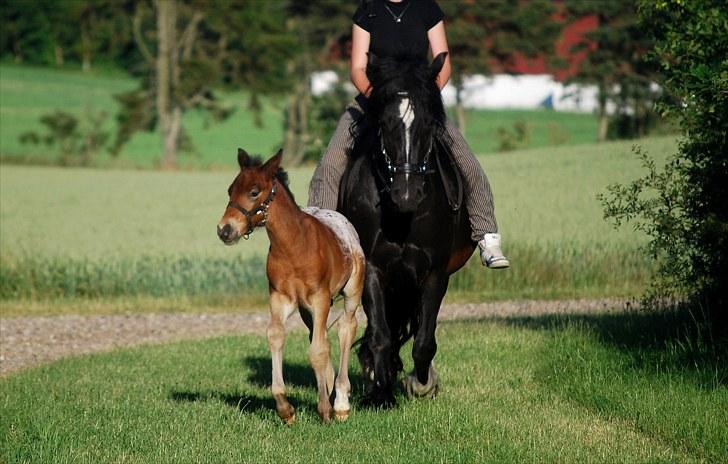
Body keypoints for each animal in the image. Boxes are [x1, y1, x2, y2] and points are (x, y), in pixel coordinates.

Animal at [216, 150, 364, 424]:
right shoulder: (279, 297)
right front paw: (285, 409)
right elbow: (276, 336)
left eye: (254, 191)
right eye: (230, 190)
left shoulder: (319, 297)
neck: (293, 246)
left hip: (350, 293)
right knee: (323, 337)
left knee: (346, 329)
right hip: (308, 310)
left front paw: (325, 410)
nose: (224, 230)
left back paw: (340, 403)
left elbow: (317, 351)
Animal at [338, 51, 474, 406]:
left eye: (428, 124)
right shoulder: (373, 268)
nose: (407, 194)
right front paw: (380, 393)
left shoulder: (435, 272)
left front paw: (421, 384)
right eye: (385, 124)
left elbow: (424, 341)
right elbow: (381, 335)